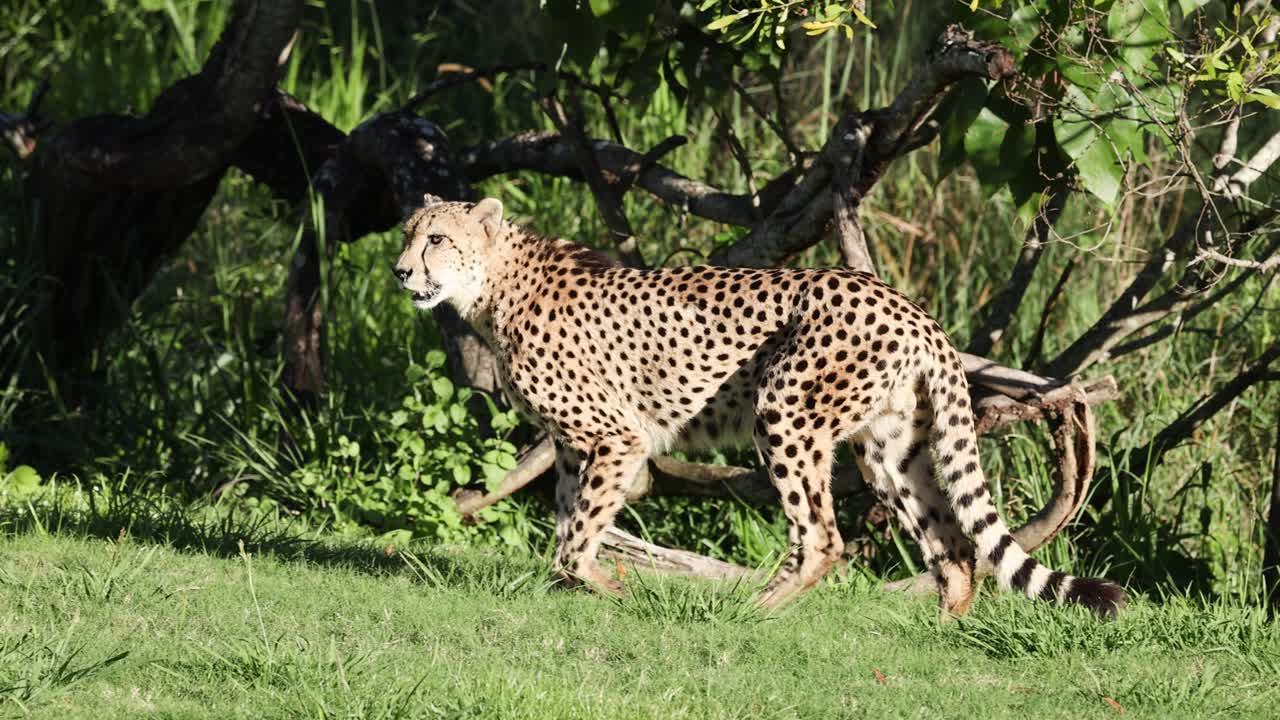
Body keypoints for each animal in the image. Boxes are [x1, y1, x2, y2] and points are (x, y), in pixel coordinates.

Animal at [393, 195, 1125, 617]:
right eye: (406, 232)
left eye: (437, 240)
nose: (400, 271)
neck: (494, 286)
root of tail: (909, 305)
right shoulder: (578, 446)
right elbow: (569, 521)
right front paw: (568, 588)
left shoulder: (615, 436)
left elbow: (578, 534)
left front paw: (612, 586)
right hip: (889, 447)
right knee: (952, 542)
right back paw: (942, 628)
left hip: (786, 412)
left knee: (824, 537)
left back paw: (759, 609)